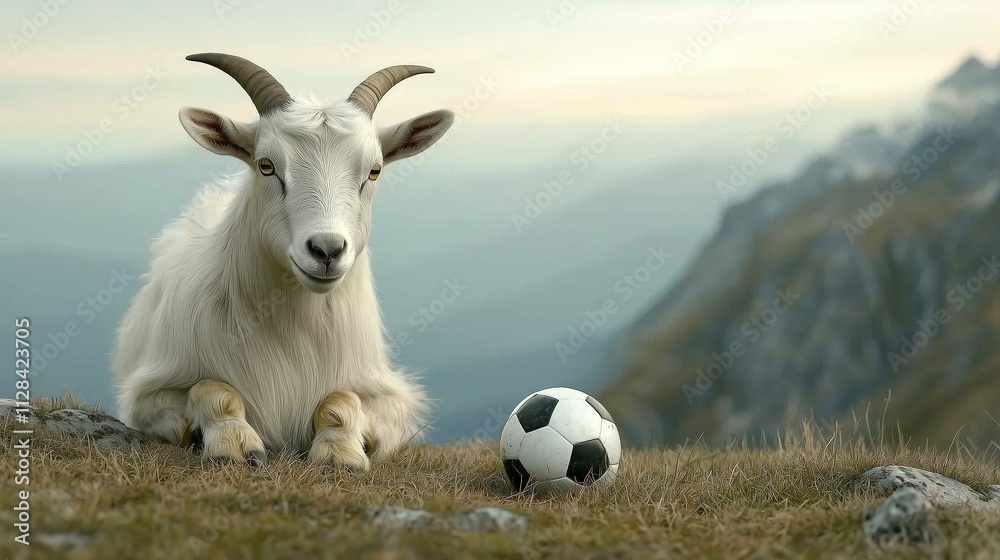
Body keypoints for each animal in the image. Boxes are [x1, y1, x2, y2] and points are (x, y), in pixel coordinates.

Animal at [111, 53, 454, 471]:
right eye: (266, 165)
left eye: (374, 171)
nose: (327, 250)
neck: (291, 323)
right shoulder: (148, 396)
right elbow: (213, 388)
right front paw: (235, 445)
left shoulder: (389, 400)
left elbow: (342, 399)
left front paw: (340, 454)